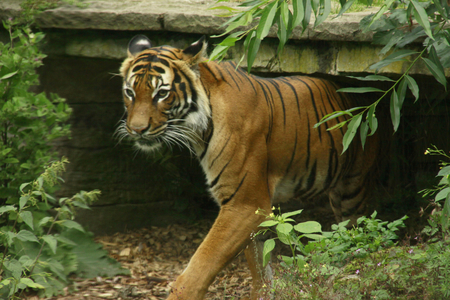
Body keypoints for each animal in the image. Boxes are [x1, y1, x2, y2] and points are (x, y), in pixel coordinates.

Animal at [117, 34, 380, 298]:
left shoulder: (245, 202)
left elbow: (201, 264)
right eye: (130, 92)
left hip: (352, 190)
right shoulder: (251, 210)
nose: (137, 130)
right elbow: (259, 265)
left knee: (360, 234)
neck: (199, 128)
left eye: (161, 93)